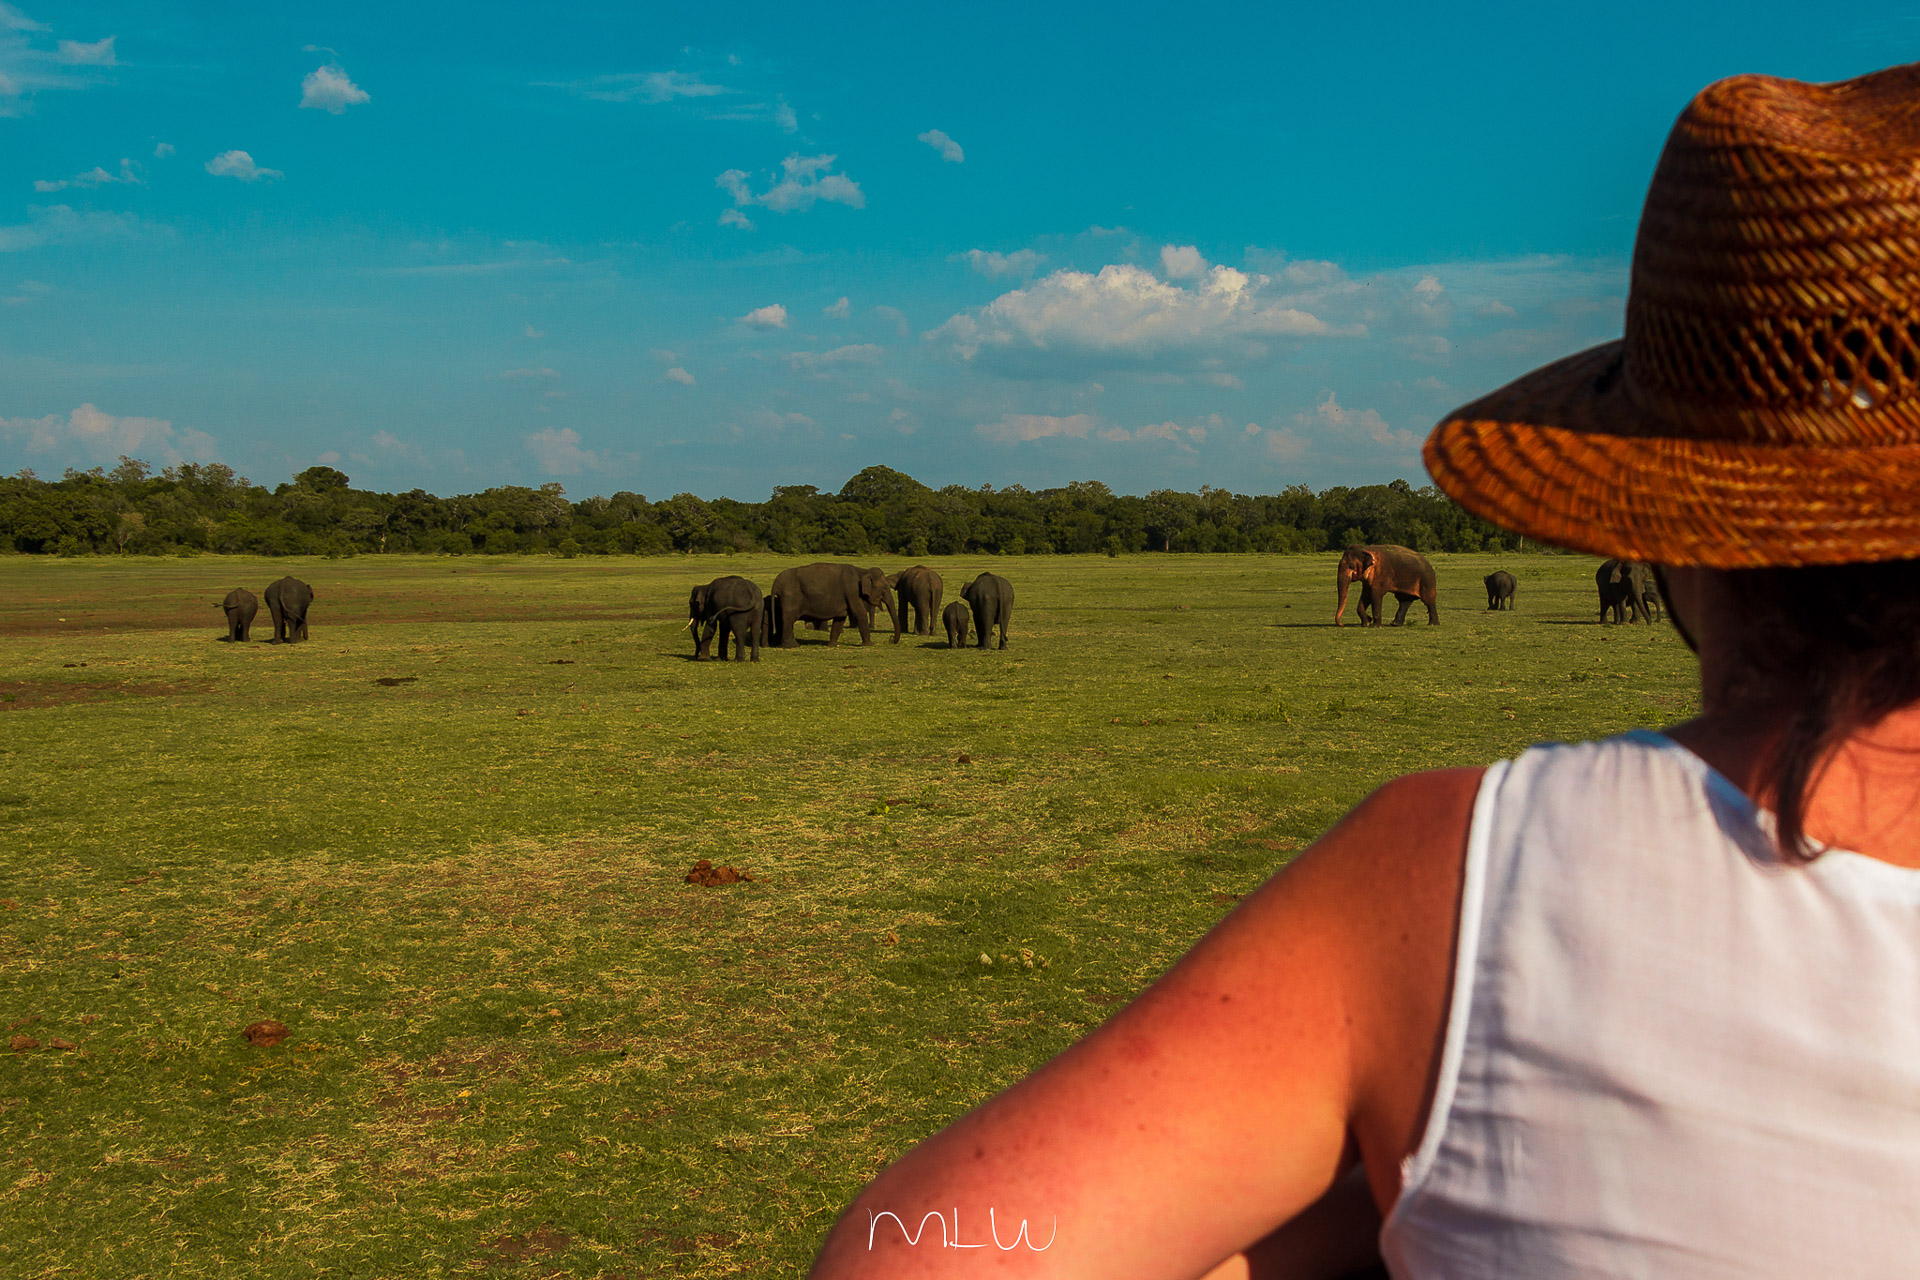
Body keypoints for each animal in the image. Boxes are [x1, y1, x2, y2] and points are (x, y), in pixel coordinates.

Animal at [764, 560, 898, 644]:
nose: (890, 639)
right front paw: (869, 644)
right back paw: (793, 645)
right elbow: (859, 613)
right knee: (788, 619)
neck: (862, 571)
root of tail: (776, 583)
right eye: (885, 587)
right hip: (790, 597)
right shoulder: (852, 590)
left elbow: (841, 618)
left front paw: (832, 644)